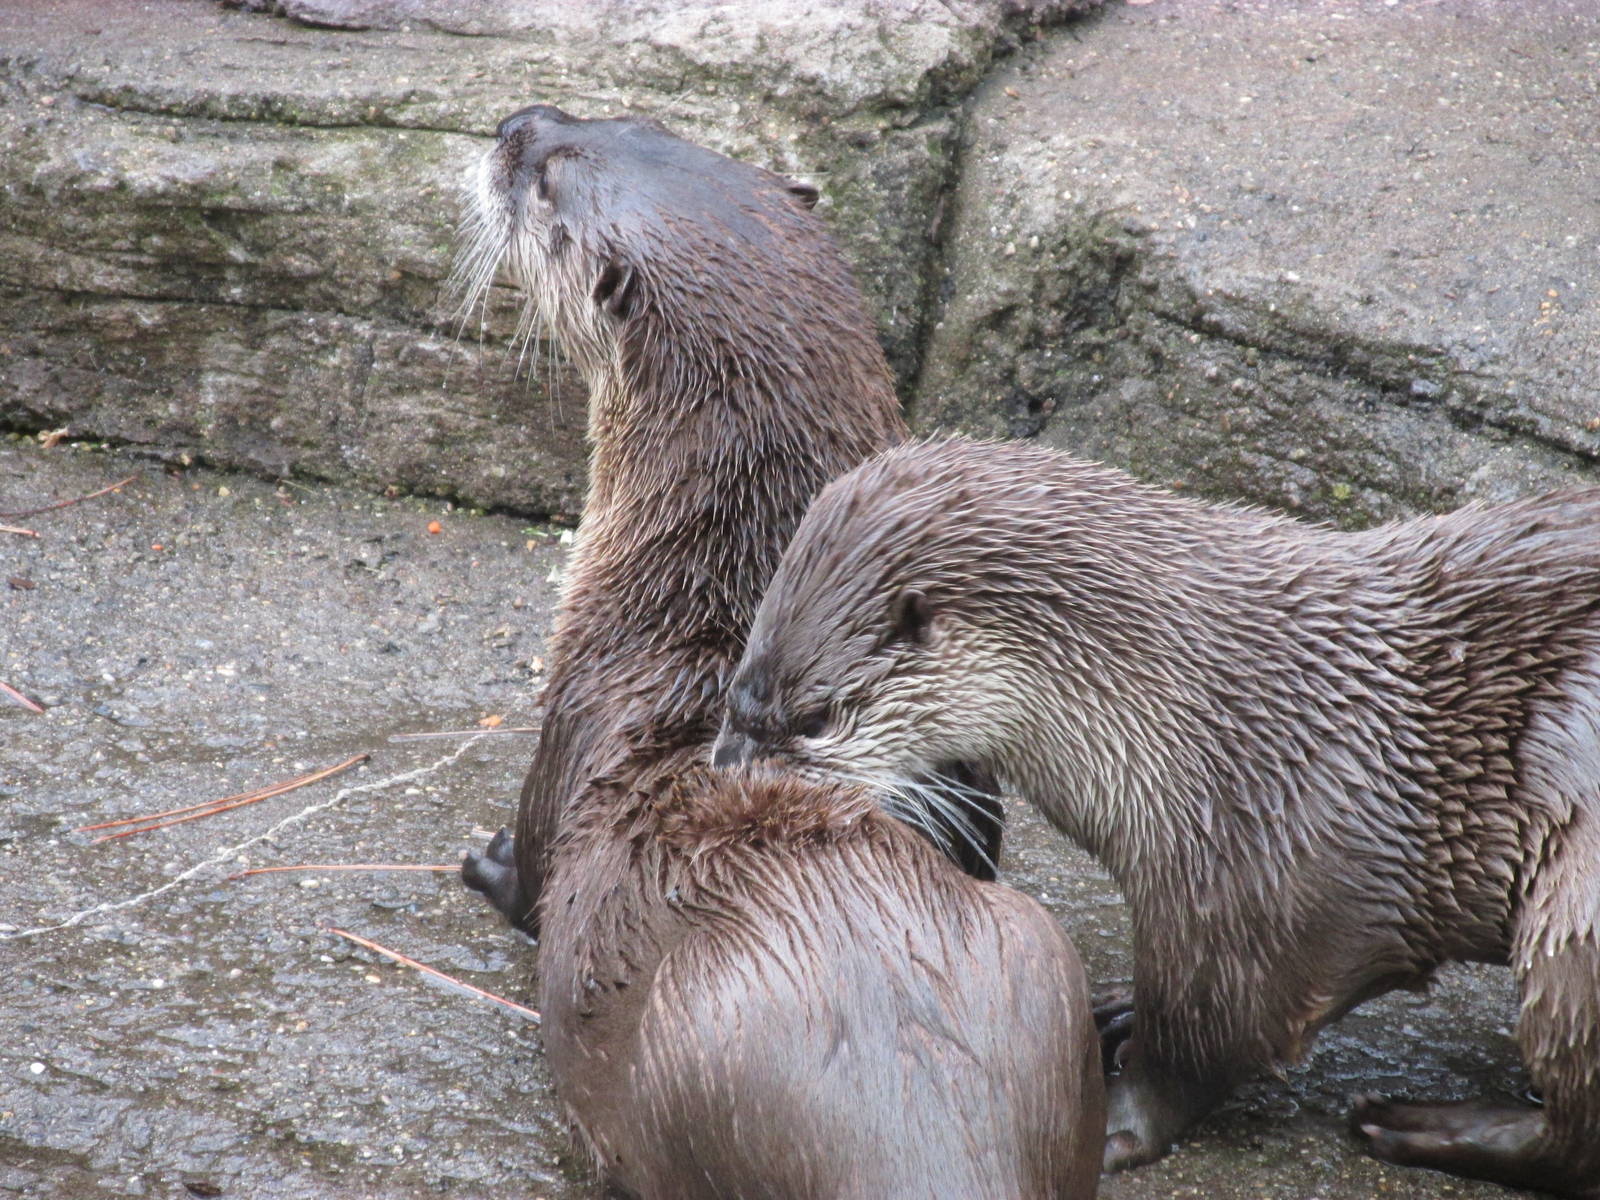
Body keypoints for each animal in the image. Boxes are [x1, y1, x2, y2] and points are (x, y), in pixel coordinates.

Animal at [454, 108, 1104, 1197]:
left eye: (547, 180)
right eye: (630, 118)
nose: (517, 124)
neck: (717, 576)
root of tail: (908, 1108)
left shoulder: (572, 706)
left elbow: (538, 869)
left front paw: (493, 865)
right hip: (1040, 952)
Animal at [714, 437, 1600, 1198]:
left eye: (816, 718)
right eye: (738, 684)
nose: (724, 772)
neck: (1208, 713)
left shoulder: (1261, 868)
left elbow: (1212, 1035)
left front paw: (1104, 1122)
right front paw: (1116, 1008)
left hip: (1577, 909)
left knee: (1573, 1126)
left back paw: (1420, 1124)